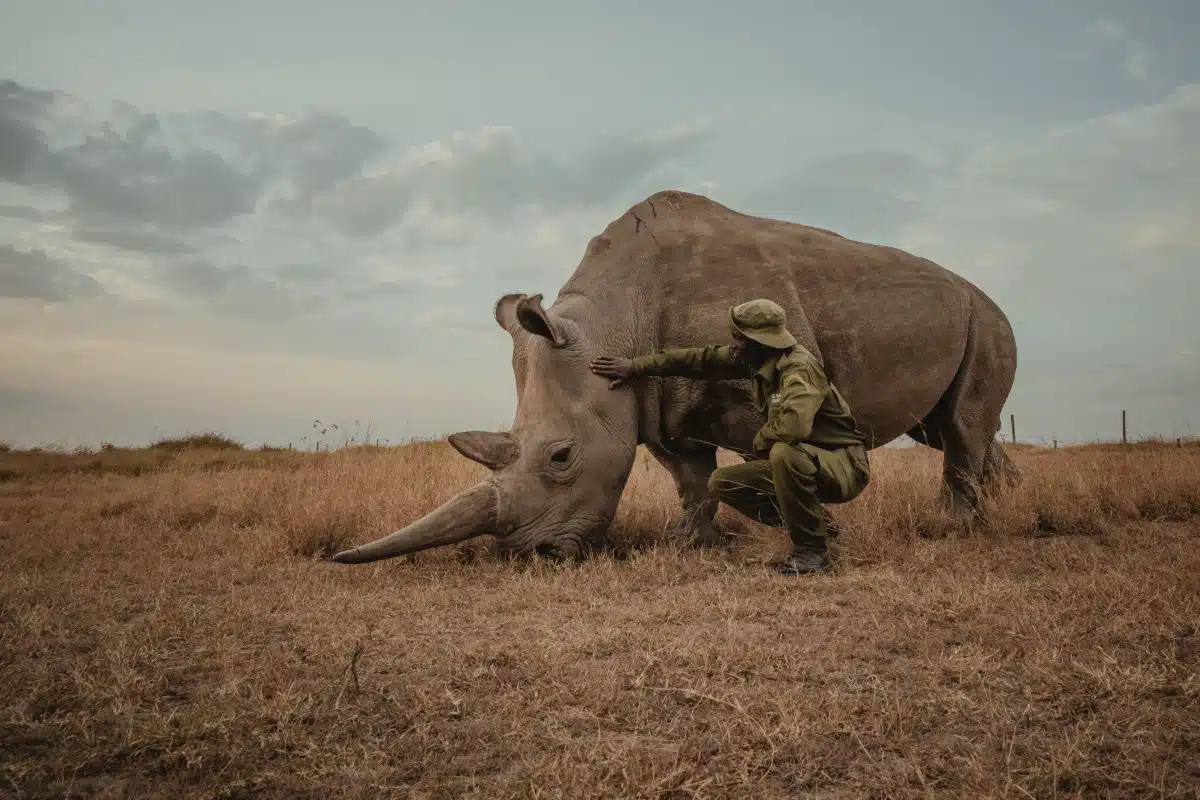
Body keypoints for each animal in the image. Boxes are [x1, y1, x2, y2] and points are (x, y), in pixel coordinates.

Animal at [331, 189, 1022, 563]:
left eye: (561, 456)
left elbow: (753, 457)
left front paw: (807, 527)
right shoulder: (652, 399)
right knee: (949, 429)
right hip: (956, 314)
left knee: (963, 426)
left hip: (986, 315)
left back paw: (959, 530)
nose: (534, 555)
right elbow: (691, 477)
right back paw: (999, 504)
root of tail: (977, 289)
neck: (614, 317)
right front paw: (689, 544)